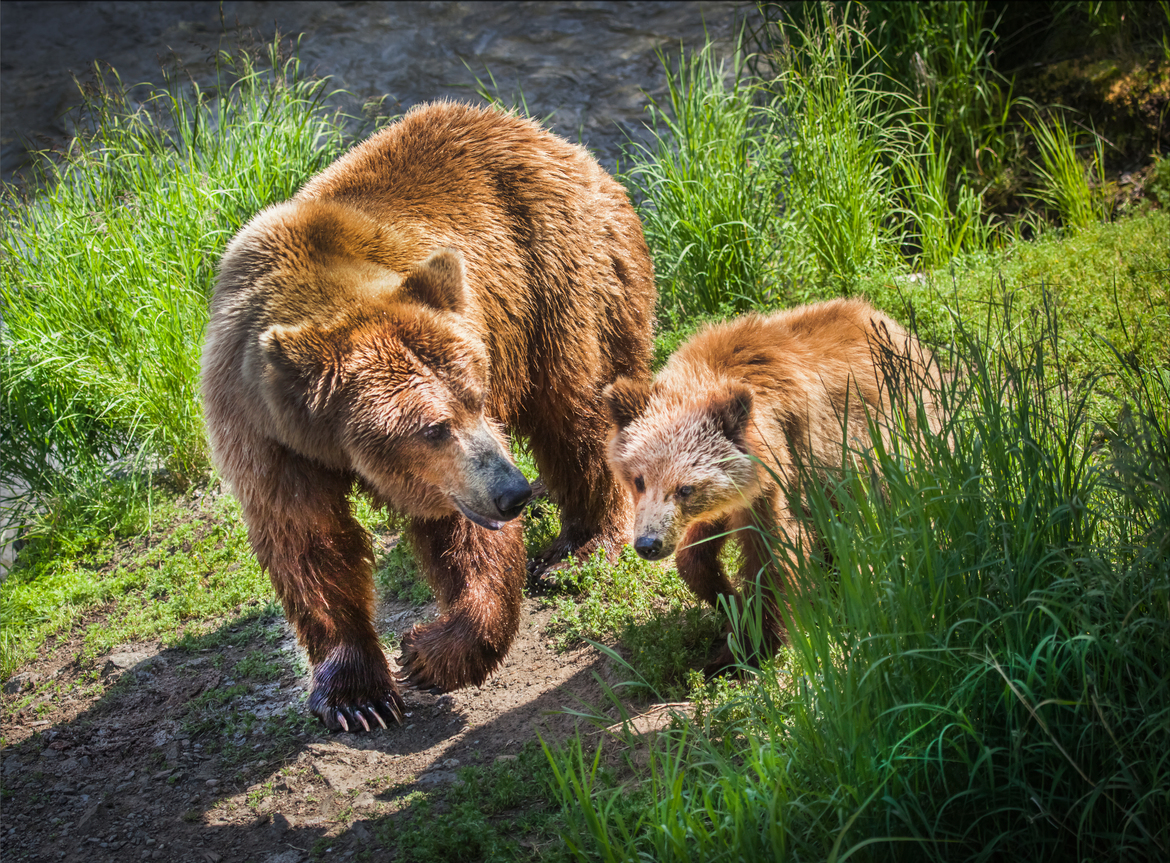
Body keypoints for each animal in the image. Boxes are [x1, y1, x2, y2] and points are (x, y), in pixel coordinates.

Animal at [201, 102, 655, 732]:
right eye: (432, 427)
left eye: (477, 397)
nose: (514, 492)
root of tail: (554, 141)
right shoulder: (262, 430)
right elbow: (309, 540)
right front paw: (358, 697)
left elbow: (461, 532)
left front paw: (427, 653)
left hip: (560, 279)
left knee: (577, 409)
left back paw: (585, 546)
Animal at [603, 298, 939, 675]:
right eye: (638, 480)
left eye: (685, 488)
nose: (648, 543)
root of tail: (888, 321)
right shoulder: (737, 493)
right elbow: (698, 551)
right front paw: (726, 597)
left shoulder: (784, 471)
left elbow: (775, 556)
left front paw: (746, 651)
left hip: (890, 439)